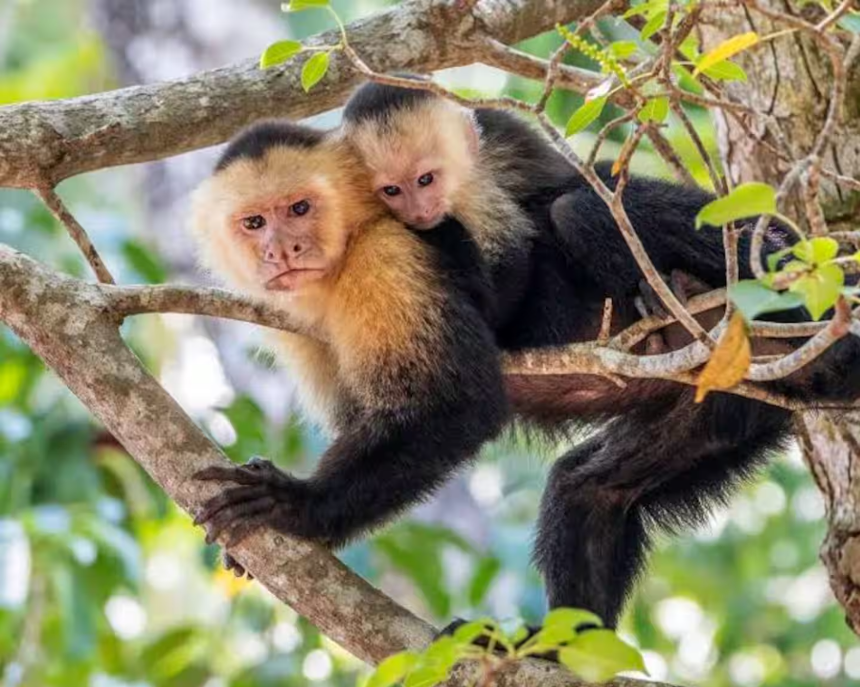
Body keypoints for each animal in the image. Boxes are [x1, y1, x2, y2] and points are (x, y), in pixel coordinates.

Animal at [188, 120, 509, 568]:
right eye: (253, 222)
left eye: (299, 209)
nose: (281, 250)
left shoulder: (385, 256)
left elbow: (456, 403)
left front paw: (299, 505)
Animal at [340, 80, 860, 627]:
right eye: (391, 190)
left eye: (426, 178)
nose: (419, 213)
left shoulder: (498, 152)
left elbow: (530, 239)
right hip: (728, 402)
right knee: (588, 490)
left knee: (584, 208)